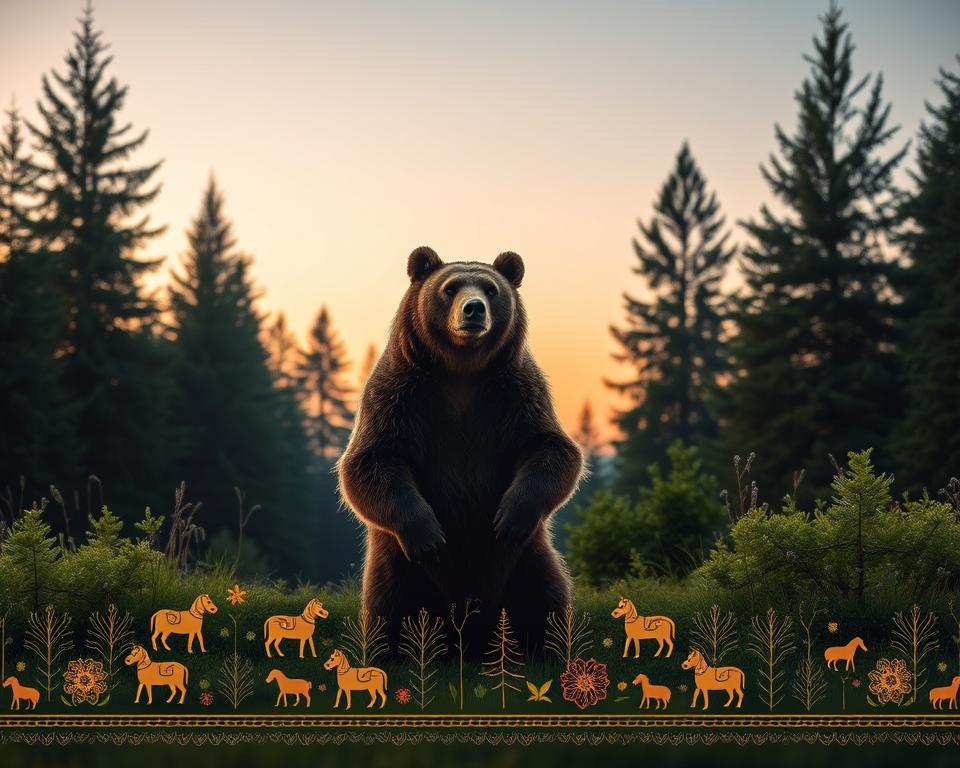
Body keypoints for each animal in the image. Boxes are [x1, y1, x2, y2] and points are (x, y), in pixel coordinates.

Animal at [337, 246, 583, 657]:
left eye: (490, 288)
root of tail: (469, 635)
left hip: (527, 561)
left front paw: (510, 516)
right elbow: (373, 460)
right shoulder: (399, 395)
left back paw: (548, 649)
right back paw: (389, 652)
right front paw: (429, 535)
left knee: (545, 600)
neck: (462, 371)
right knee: (390, 609)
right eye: (450, 287)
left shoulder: (516, 393)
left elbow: (549, 448)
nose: (474, 309)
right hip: (399, 569)